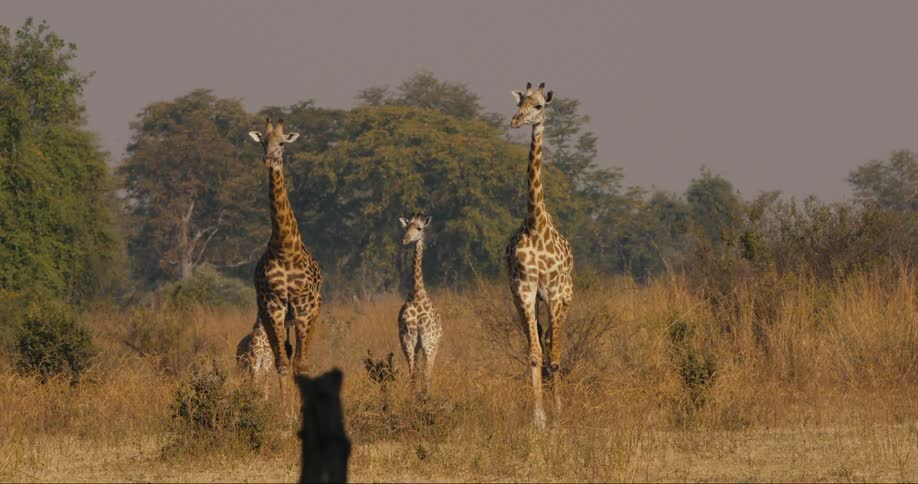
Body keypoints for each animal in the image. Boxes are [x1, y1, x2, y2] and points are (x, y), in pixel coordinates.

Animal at [247, 117, 323, 414]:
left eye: (282, 143)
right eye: (262, 142)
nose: (270, 159)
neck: (285, 248)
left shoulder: (302, 306)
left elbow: (301, 365)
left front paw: (303, 411)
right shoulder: (274, 305)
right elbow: (280, 363)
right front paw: (287, 414)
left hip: (313, 313)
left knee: (300, 358)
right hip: (271, 316)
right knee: (285, 356)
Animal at [397, 213, 443, 396]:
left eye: (419, 228)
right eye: (406, 226)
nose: (405, 239)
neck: (416, 295)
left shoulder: (427, 341)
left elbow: (424, 374)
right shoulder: (407, 339)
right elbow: (414, 374)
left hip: (431, 343)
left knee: (425, 372)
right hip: (417, 343)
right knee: (417, 371)